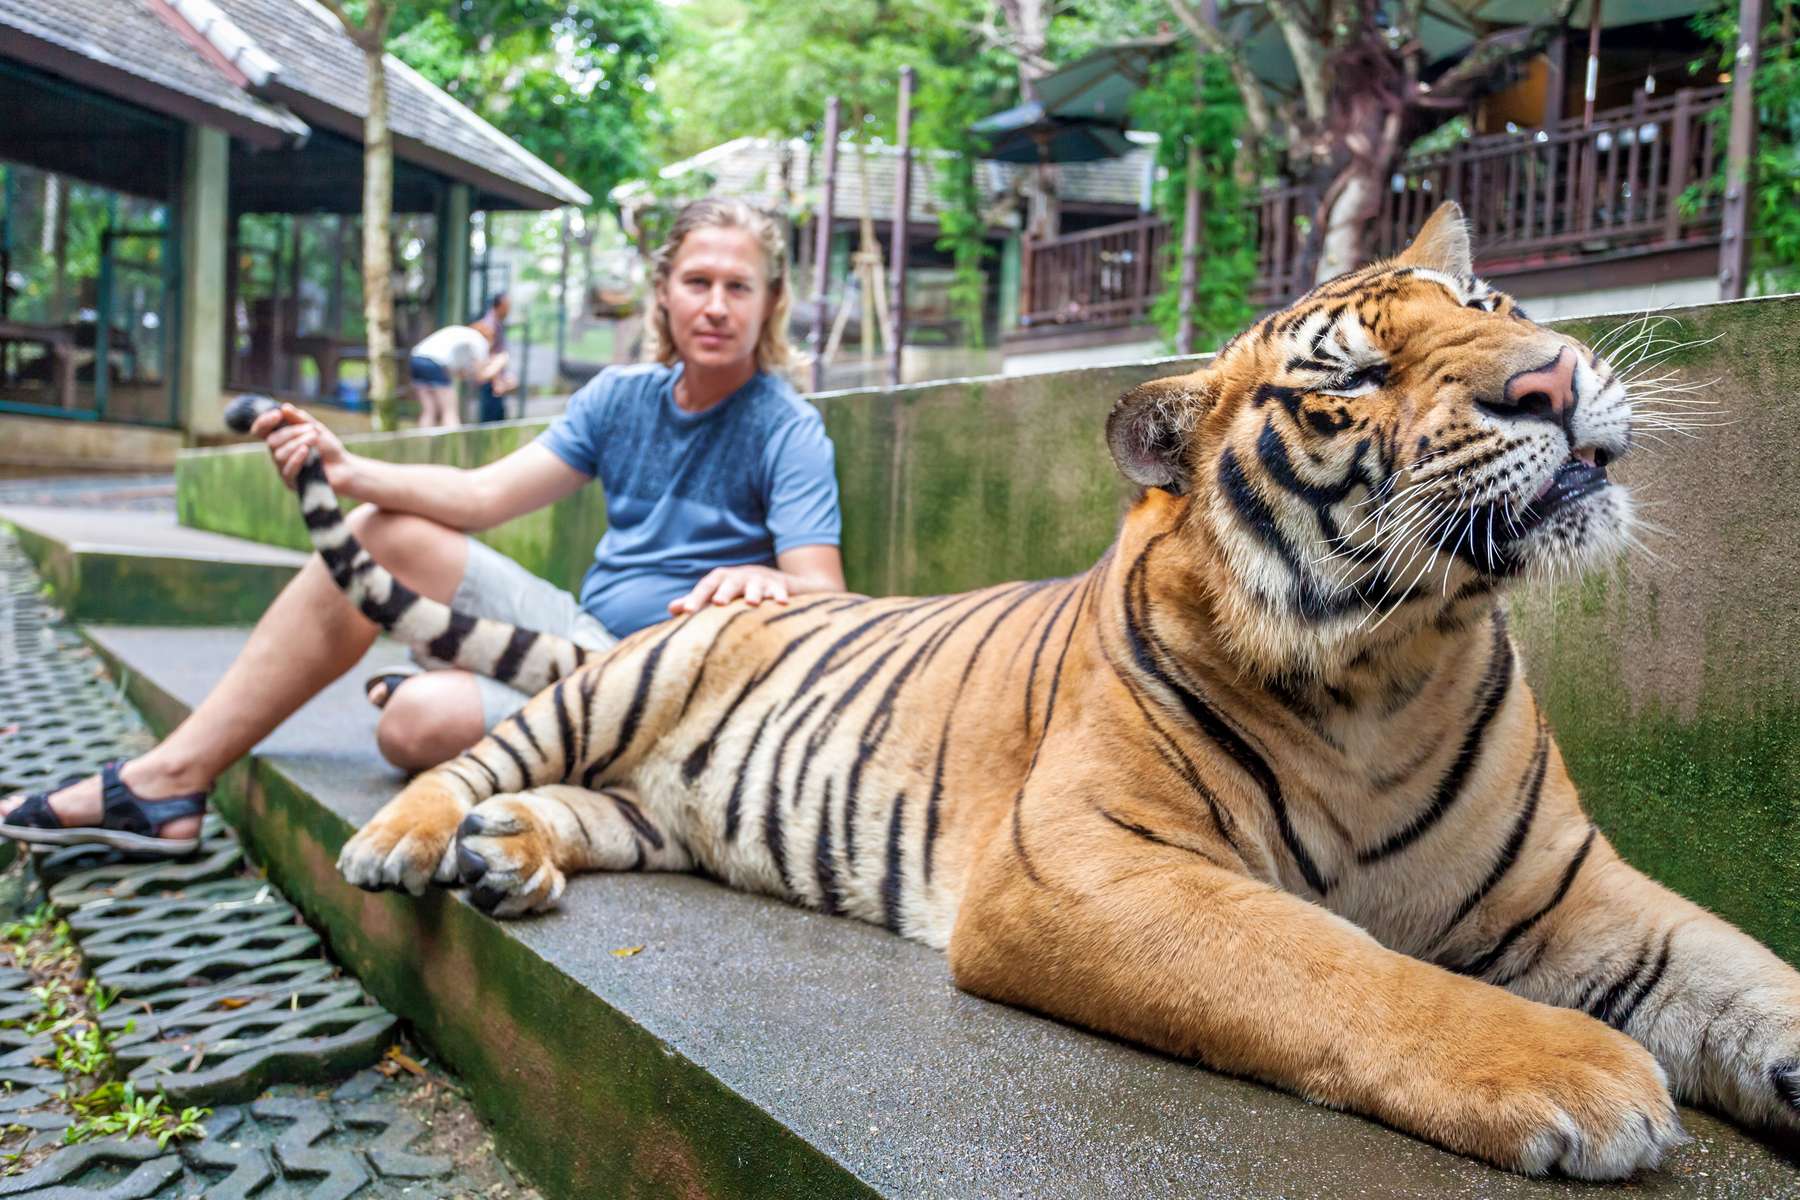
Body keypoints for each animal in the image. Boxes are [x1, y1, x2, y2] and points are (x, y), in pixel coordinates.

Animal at [226, 203, 1800, 1180]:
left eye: (1487, 301)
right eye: (1346, 383)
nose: (1555, 377)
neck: (1398, 661)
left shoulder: (1569, 887)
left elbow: (1740, 975)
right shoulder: (1090, 867)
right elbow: (1336, 966)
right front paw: (1581, 1074)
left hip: (673, 806)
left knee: (588, 809)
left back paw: (516, 858)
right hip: (626, 681)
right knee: (476, 755)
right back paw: (419, 838)